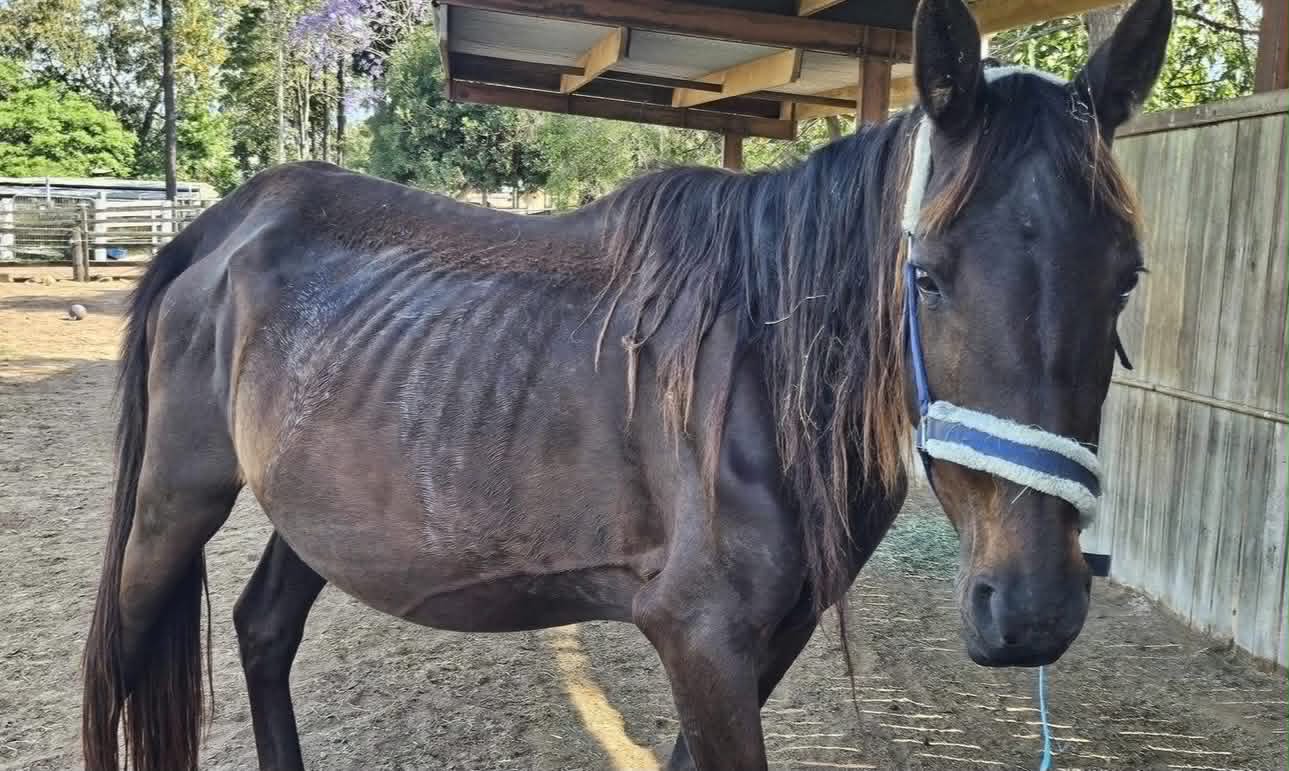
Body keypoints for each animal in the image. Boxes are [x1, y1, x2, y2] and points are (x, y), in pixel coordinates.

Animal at [81, 0, 1172, 767]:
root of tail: (227, 223)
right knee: (119, 662)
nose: (1029, 609)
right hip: (175, 503)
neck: (757, 377)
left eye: (1126, 276)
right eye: (929, 275)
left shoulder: (765, 640)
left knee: (263, 631)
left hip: (314, 514)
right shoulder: (699, 638)